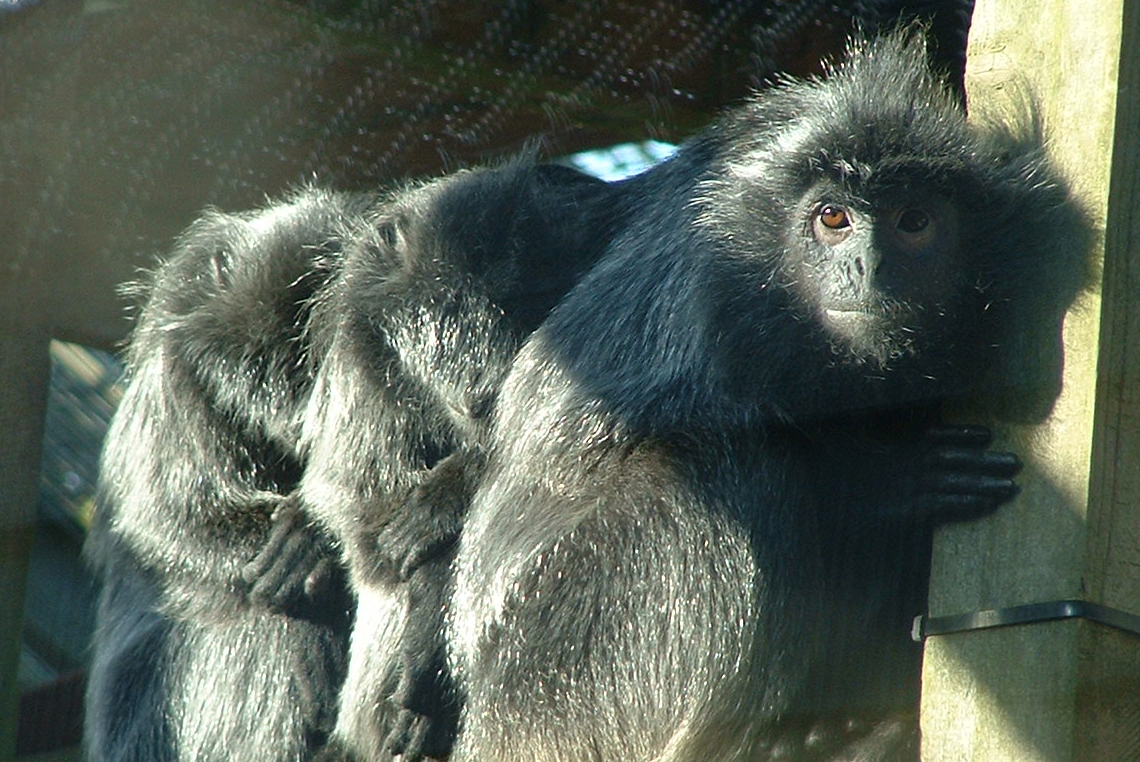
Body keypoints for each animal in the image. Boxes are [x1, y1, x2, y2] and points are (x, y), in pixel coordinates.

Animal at [445, 32, 1090, 762]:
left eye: (914, 222)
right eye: (833, 219)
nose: (868, 267)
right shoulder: (709, 286)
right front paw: (887, 482)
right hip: (557, 681)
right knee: (733, 477)